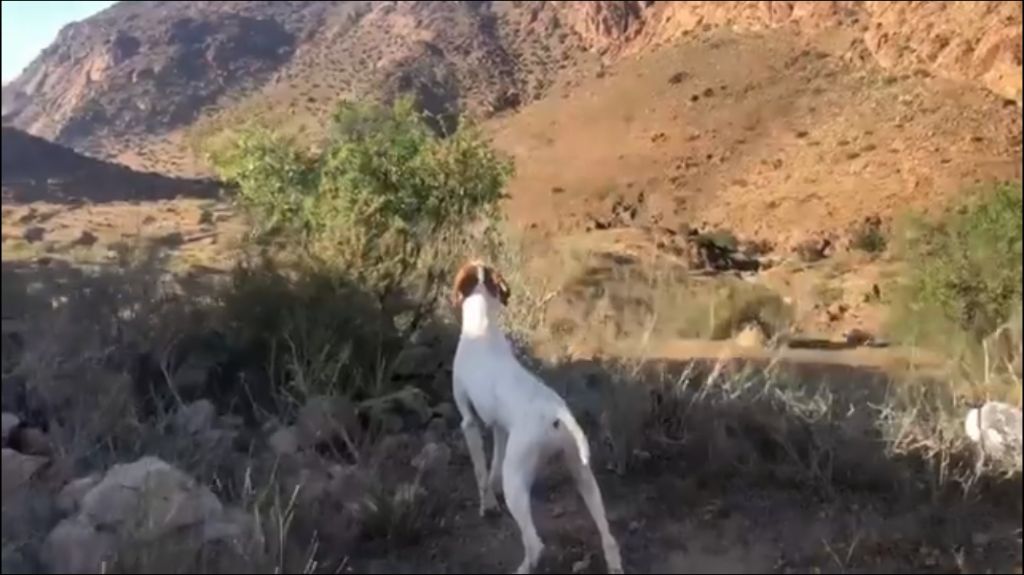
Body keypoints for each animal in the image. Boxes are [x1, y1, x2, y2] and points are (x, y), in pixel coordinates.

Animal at [454, 260, 622, 572]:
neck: (483, 326)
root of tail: (556, 414)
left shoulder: (469, 422)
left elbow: (481, 472)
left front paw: (487, 506)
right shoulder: (499, 429)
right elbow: (492, 468)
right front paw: (491, 496)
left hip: (518, 485)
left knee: (535, 545)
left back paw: (523, 567)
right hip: (583, 475)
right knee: (608, 536)